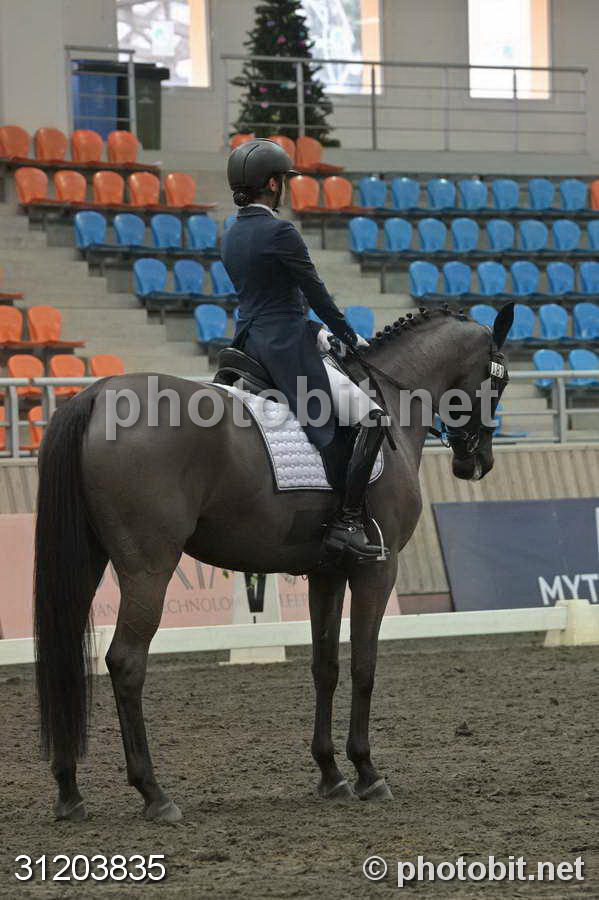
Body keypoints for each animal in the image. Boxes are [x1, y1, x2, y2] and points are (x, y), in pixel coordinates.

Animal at [34, 303, 513, 823]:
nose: (477, 462)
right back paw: (154, 794)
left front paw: (331, 774)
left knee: (65, 658)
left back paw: (68, 792)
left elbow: (325, 666)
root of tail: (96, 395)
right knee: (125, 662)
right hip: (148, 569)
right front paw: (367, 772)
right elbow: (364, 666)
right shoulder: (377, 569)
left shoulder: (327, 572)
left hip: (87, 563)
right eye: (500, 379)